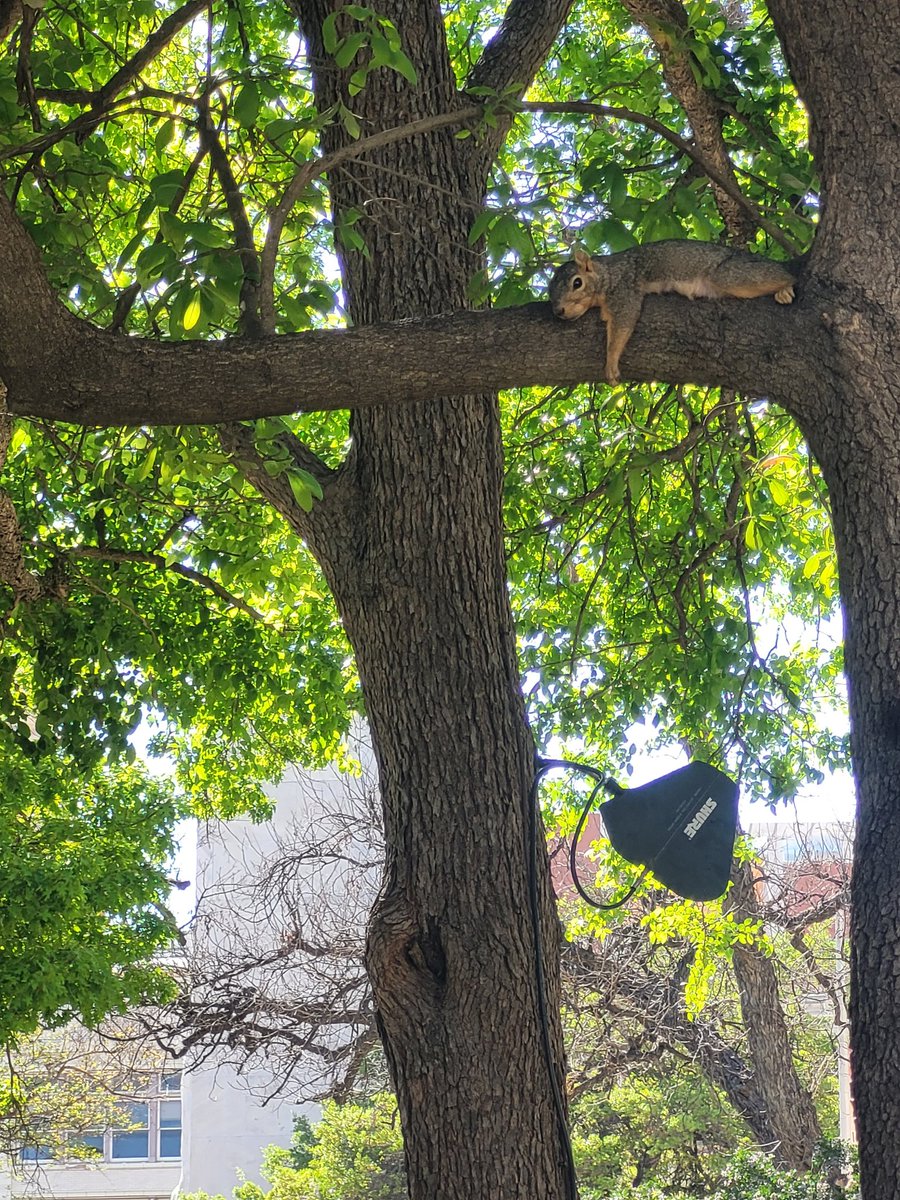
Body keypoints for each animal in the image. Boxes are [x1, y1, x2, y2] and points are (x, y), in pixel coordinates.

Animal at [548, 242, 795, 384]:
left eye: (577, 283)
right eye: (549, 291)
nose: (558, 311)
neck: (608, 274)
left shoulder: (625, 293)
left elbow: (622, 328)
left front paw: (611, 363)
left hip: (731, 275)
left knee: (783, 275)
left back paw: (785, 288)